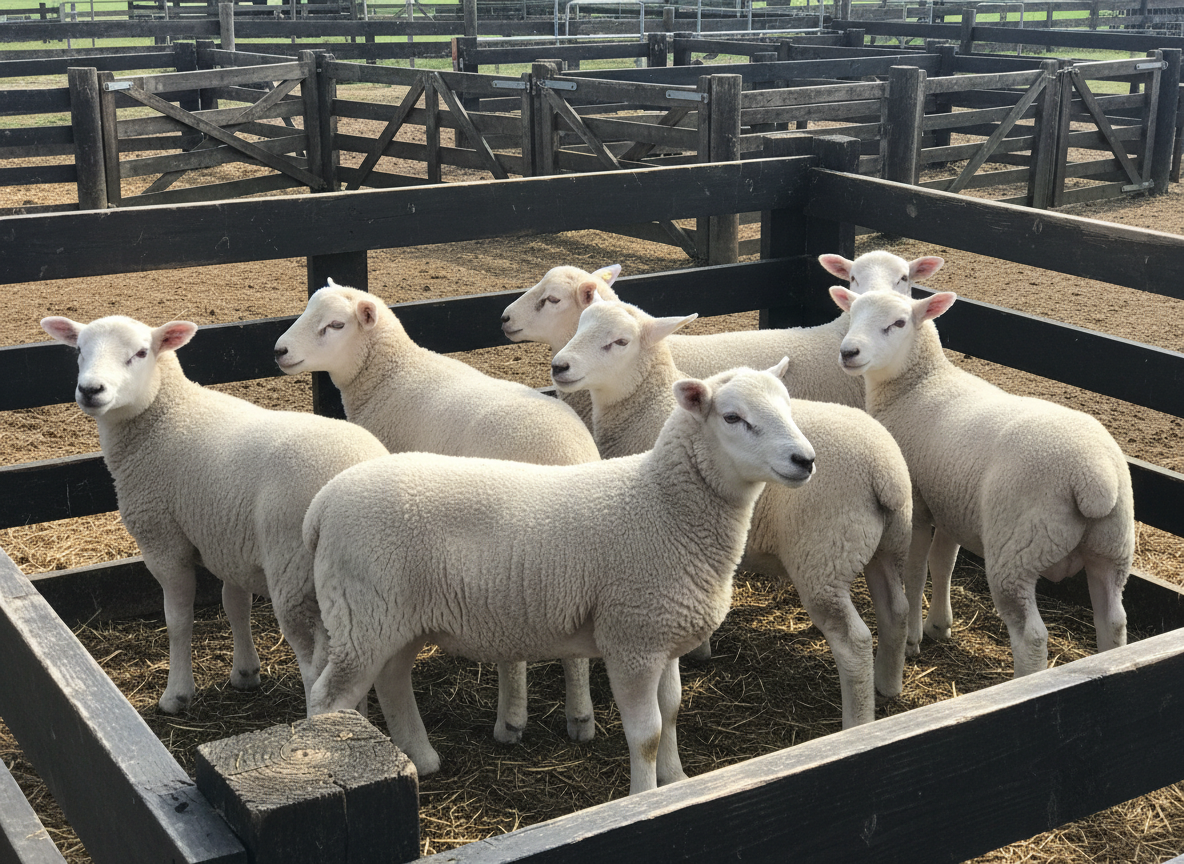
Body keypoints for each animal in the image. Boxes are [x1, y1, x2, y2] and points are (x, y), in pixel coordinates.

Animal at [39, 314, 389, 715]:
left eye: (141, 353)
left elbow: (178, 620)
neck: (166, 414)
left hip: (295, 574)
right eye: (80, 350)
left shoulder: (163, 542)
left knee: (316, 664)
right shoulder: (228, 539)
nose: (90, 390)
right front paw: (246, 673)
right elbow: (235, 605)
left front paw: (176, 694)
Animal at [273, 280, 602, 745]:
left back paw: (510, 720)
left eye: (335, 325)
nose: (280, 351)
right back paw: (580, 718)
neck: (390, 376)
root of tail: (563, 455)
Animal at [303, 362, 817, 794]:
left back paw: (422, 759)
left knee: (392, 679)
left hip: (393, 617)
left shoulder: (664, 632)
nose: (805, 460)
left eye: (788, 407)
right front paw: (642, 797)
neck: (665, 507)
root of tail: (324, 502)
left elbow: (671, 712)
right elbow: (647, 733)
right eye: (732, 417)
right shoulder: (632, 640)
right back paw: (331, 754)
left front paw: (676, 781)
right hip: (363, 614)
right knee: (328, 697)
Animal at [550, 296, 913, 728]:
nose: (559, 366)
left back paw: (857, 723)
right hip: (881, 547)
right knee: (896, 611)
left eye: (619, 342)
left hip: (823, 558)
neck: (646, 405)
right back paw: (888, 685)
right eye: (578, 326)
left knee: (854, 642)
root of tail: (886, 471)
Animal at [829, 287, 1134, 677]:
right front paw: (939, 625)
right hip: (1112, 549)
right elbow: (943, 564)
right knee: (1113, 620)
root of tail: (1094, 476)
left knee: (1031, 636)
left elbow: (915, 572)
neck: (918, 385)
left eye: (898, 323)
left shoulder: (918, 505)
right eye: (851, 315)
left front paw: (912, 638)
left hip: (1017, 548)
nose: (848, 352)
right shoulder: (950, 503)